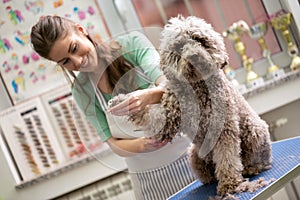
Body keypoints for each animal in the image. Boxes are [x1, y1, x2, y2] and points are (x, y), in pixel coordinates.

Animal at [109, 16, 272, 197]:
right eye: (180, 46)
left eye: (199, 40)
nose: (194, 55)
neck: (197, 88)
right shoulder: (168, 118)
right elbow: (146, 114)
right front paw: (121, 101)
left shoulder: (223, 130)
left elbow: (227, 158)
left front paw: (229, 184)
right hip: (194, 153)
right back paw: (210, 178)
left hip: (255, 129)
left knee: (257, 158)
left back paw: (252, 167)